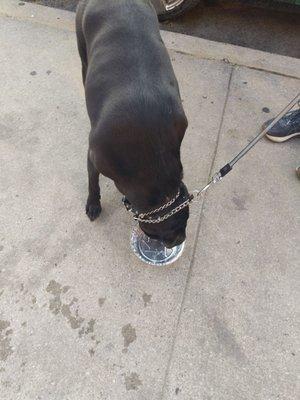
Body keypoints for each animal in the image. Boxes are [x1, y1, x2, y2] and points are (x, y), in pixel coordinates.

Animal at [76, 0, 189, 247]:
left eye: (186, 218)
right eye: (157, 233)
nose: (178, 240)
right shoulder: (94, 156)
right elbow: (92, 181)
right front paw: (93, 204)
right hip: (82, 48)